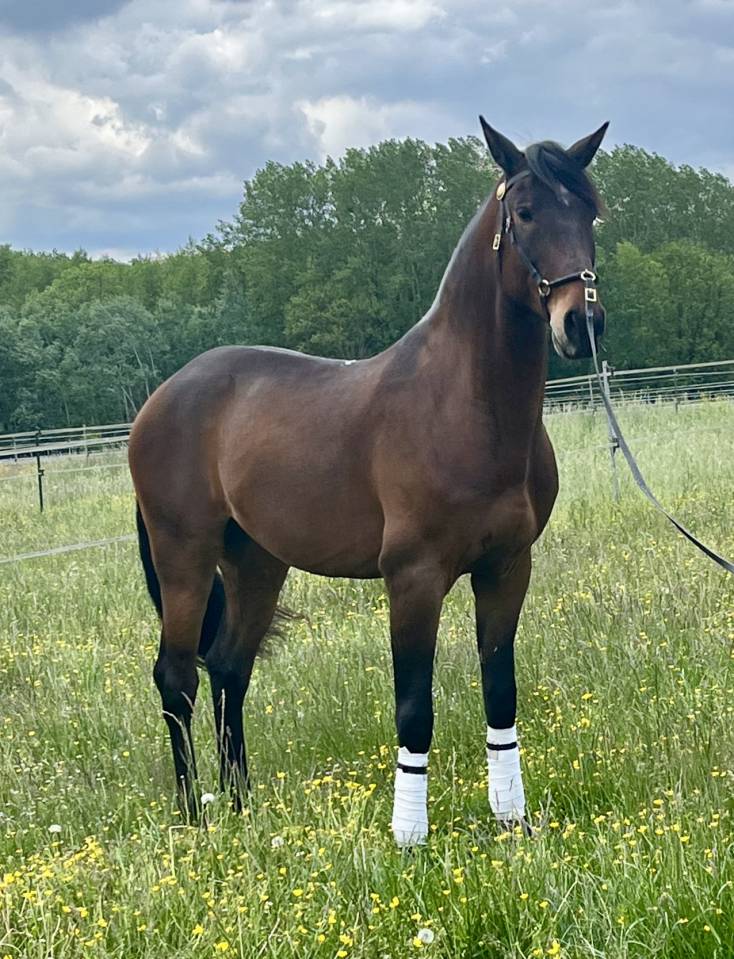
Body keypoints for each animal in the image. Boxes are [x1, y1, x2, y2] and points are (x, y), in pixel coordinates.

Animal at [128, 117, 608, 845]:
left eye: (589, 211)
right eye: (525, 212)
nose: (582, 322)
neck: (466, 406)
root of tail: (163, 397)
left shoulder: (506, 568)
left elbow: (501, 694)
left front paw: (511, 821)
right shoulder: (413, 578)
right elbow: (414, 706)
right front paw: (409, 837)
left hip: (256, 560)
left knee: (231, 668)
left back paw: (241, 804)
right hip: (183, 554)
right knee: (177, 676)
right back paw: (195, 815)